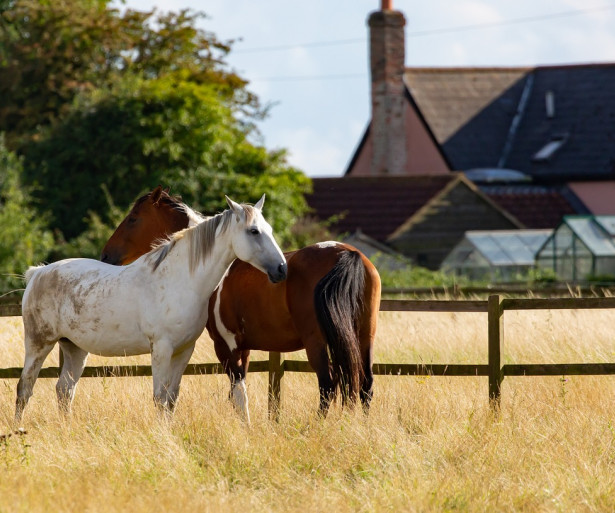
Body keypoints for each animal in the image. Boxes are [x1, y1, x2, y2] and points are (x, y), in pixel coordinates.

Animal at [15, 194, 286, 422]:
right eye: (253, 231)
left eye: (270, 230)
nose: (281, 269)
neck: (180, 280)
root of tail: (38, 273)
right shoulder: (161, 349)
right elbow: (159, 398)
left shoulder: (184, 350)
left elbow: (172, 399)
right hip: (39, 344)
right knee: (25, 387)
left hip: (74, 349)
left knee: (64, 390)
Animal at [101, 186, 380, 418]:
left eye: (133, 218)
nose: (106, 255)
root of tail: (347, 253)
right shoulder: (243, 347)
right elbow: (236, 394)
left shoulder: (225, 345)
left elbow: (238, 393)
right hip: (364, 337)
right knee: (365, 385)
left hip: (317, 342)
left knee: (328, 386)